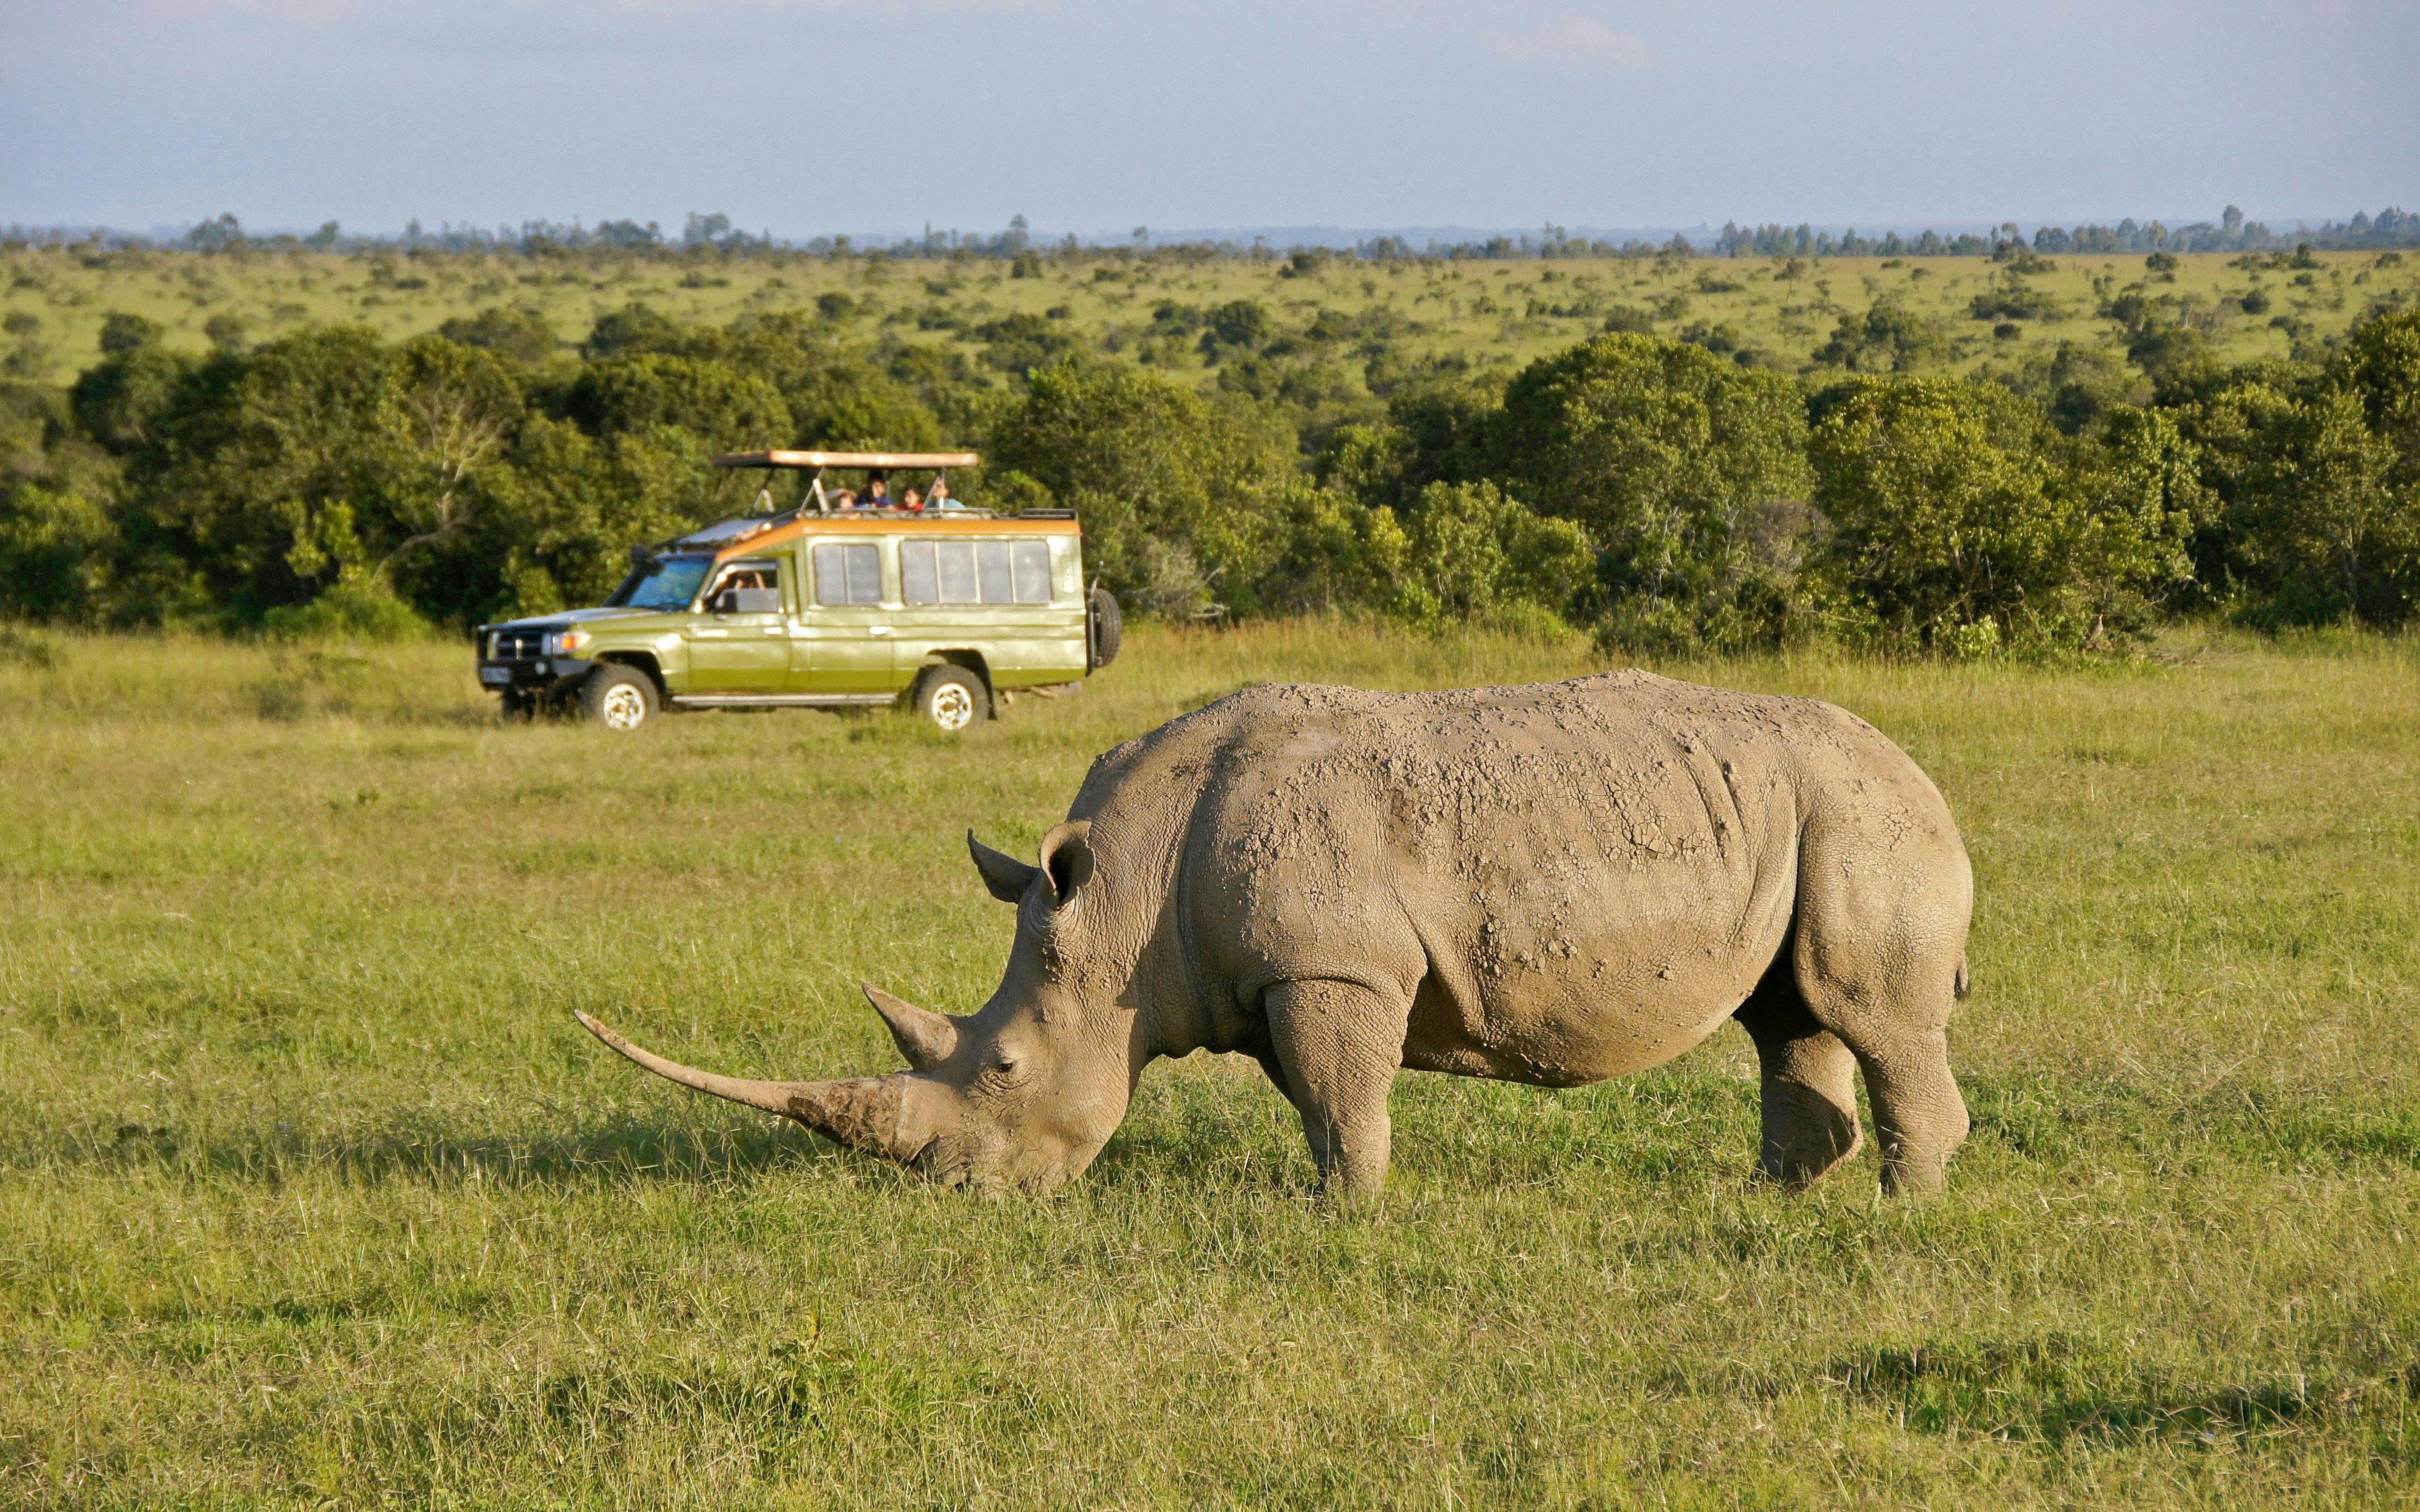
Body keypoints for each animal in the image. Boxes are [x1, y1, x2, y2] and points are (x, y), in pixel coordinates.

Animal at [579, 671, 1974, 1198]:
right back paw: (1781, 1200)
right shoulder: (1273, 974)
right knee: (1790, 1015)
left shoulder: (1332, 964)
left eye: (1006, 1068)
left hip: (1865, 820)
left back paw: (1899, 1210)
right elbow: (1320, 1095)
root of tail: (1929, 781)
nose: (960, 1194)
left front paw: (1342, 1217)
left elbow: (1339, 1101)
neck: (1123, 900)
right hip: (1801, 815)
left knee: (1867, 1014)